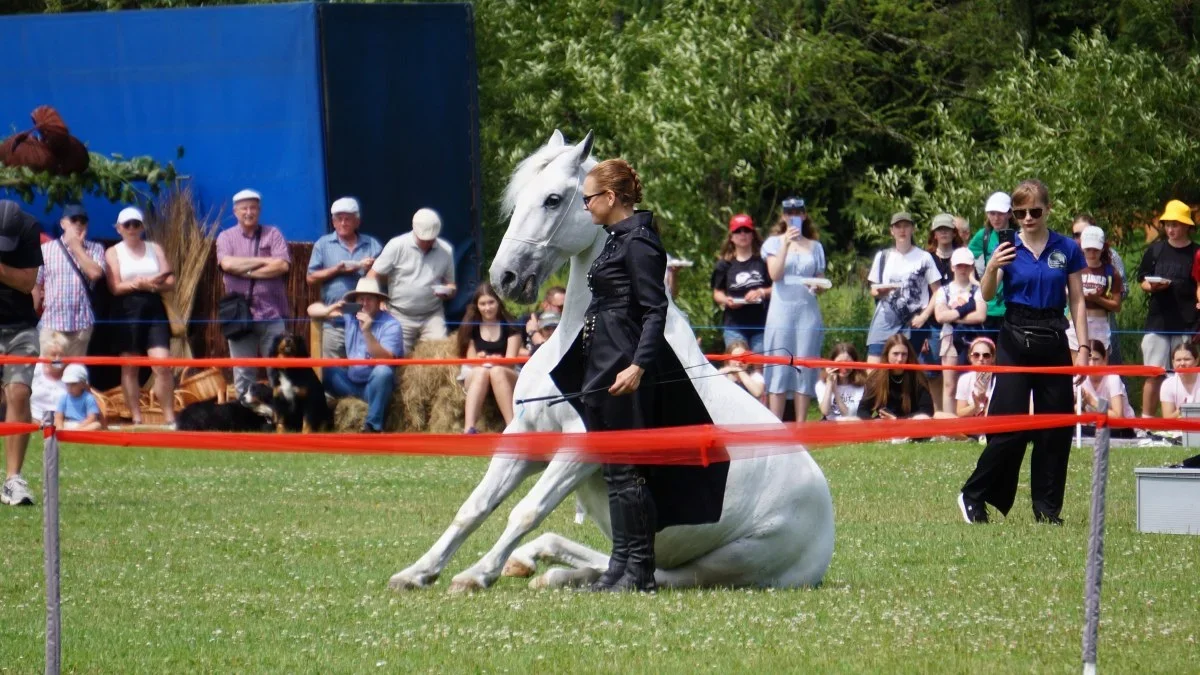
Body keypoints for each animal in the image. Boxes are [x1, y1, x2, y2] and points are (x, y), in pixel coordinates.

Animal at [393, 130, 835, 588]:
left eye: (553, 199)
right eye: (519, 199)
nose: (505, 278)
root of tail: (824, 540)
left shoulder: (581, 448)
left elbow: (525, 512)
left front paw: (476, 575)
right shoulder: (527, 434)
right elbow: (474, 507)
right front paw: (418, 572)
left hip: (727, 561)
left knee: (660, 575)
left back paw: (555, 574)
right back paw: (537, 564)